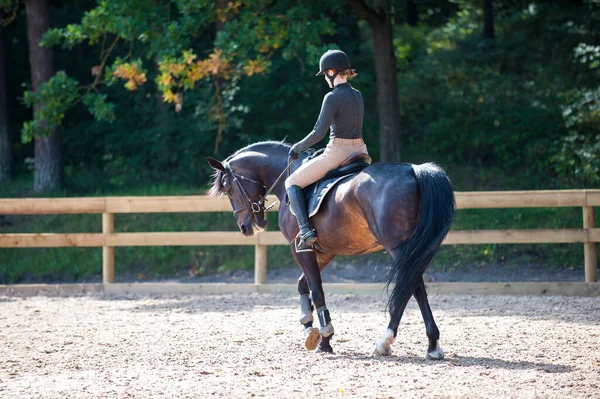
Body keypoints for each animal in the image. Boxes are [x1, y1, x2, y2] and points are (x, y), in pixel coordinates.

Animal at [206, 141, 454, 360]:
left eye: (228, 187)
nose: (245, 227)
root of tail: (415, 169)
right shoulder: (325, 251)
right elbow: (303, 285)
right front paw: (308, 327)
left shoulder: (300, 248)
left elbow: (317, 291)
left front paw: (324, 339)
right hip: (414, 250)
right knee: (416, 287)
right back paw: (432, 344)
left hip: (400, 249)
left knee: (408, 288)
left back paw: (385, 342)